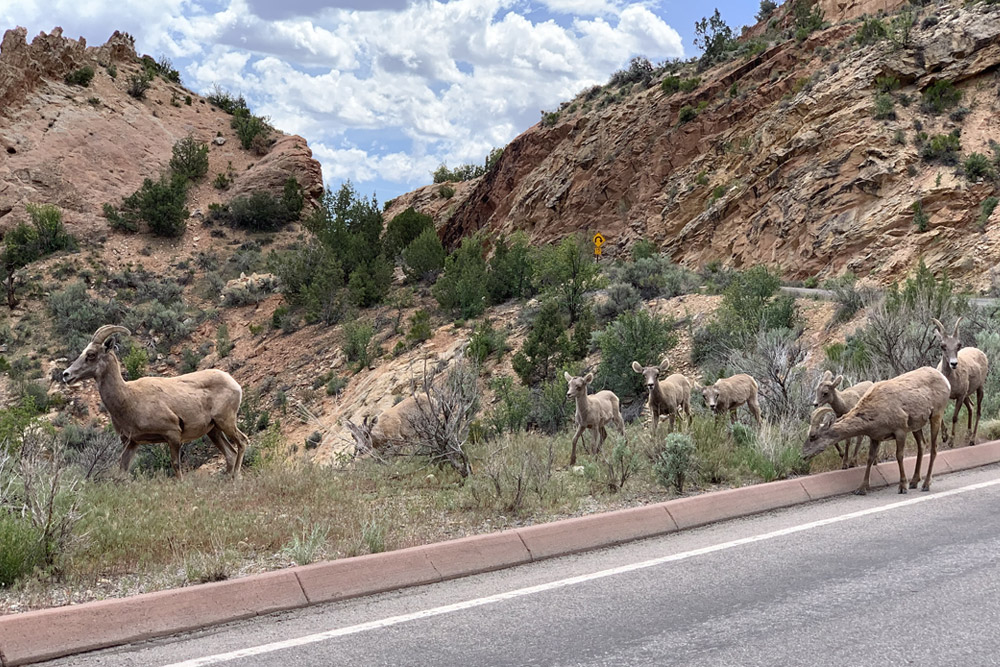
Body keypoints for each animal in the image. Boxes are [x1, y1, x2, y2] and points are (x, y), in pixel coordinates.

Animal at [62, 325, 248, 480]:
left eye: (91, 355)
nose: (66, 375)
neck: (129, 398)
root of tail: (234, 383)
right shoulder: (131, 442)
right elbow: (122, 471)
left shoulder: (172, 435)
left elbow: (176, 466)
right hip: (214, 430)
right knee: (230, 454)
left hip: (225, 422)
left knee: (242, 442)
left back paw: (235, 477)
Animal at [803, 366, 951, 495]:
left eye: (813, 436)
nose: (803, 455)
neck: (874, 409)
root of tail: (944, 379)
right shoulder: (875, 437)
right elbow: (870, 459)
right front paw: (861, 489)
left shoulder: (900, 432)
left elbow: (899, 456)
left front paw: (902, 487)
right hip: (917, 427)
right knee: (922, 447)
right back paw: (914, 482)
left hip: (936, 416)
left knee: (933, 448)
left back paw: (925, 485)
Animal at [932, 318, 989, 446]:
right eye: (942, 345)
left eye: (958, 345)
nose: (953, 363)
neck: (950, 381)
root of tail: (981, 352)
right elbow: (940, 416)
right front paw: (944, 436)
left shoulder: (959, 396)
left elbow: (954, 417)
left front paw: (951, 440)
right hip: (966, 396)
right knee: (971, 408)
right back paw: (967, 435)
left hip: (979, 389)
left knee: (978, 411)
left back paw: (972, 439)